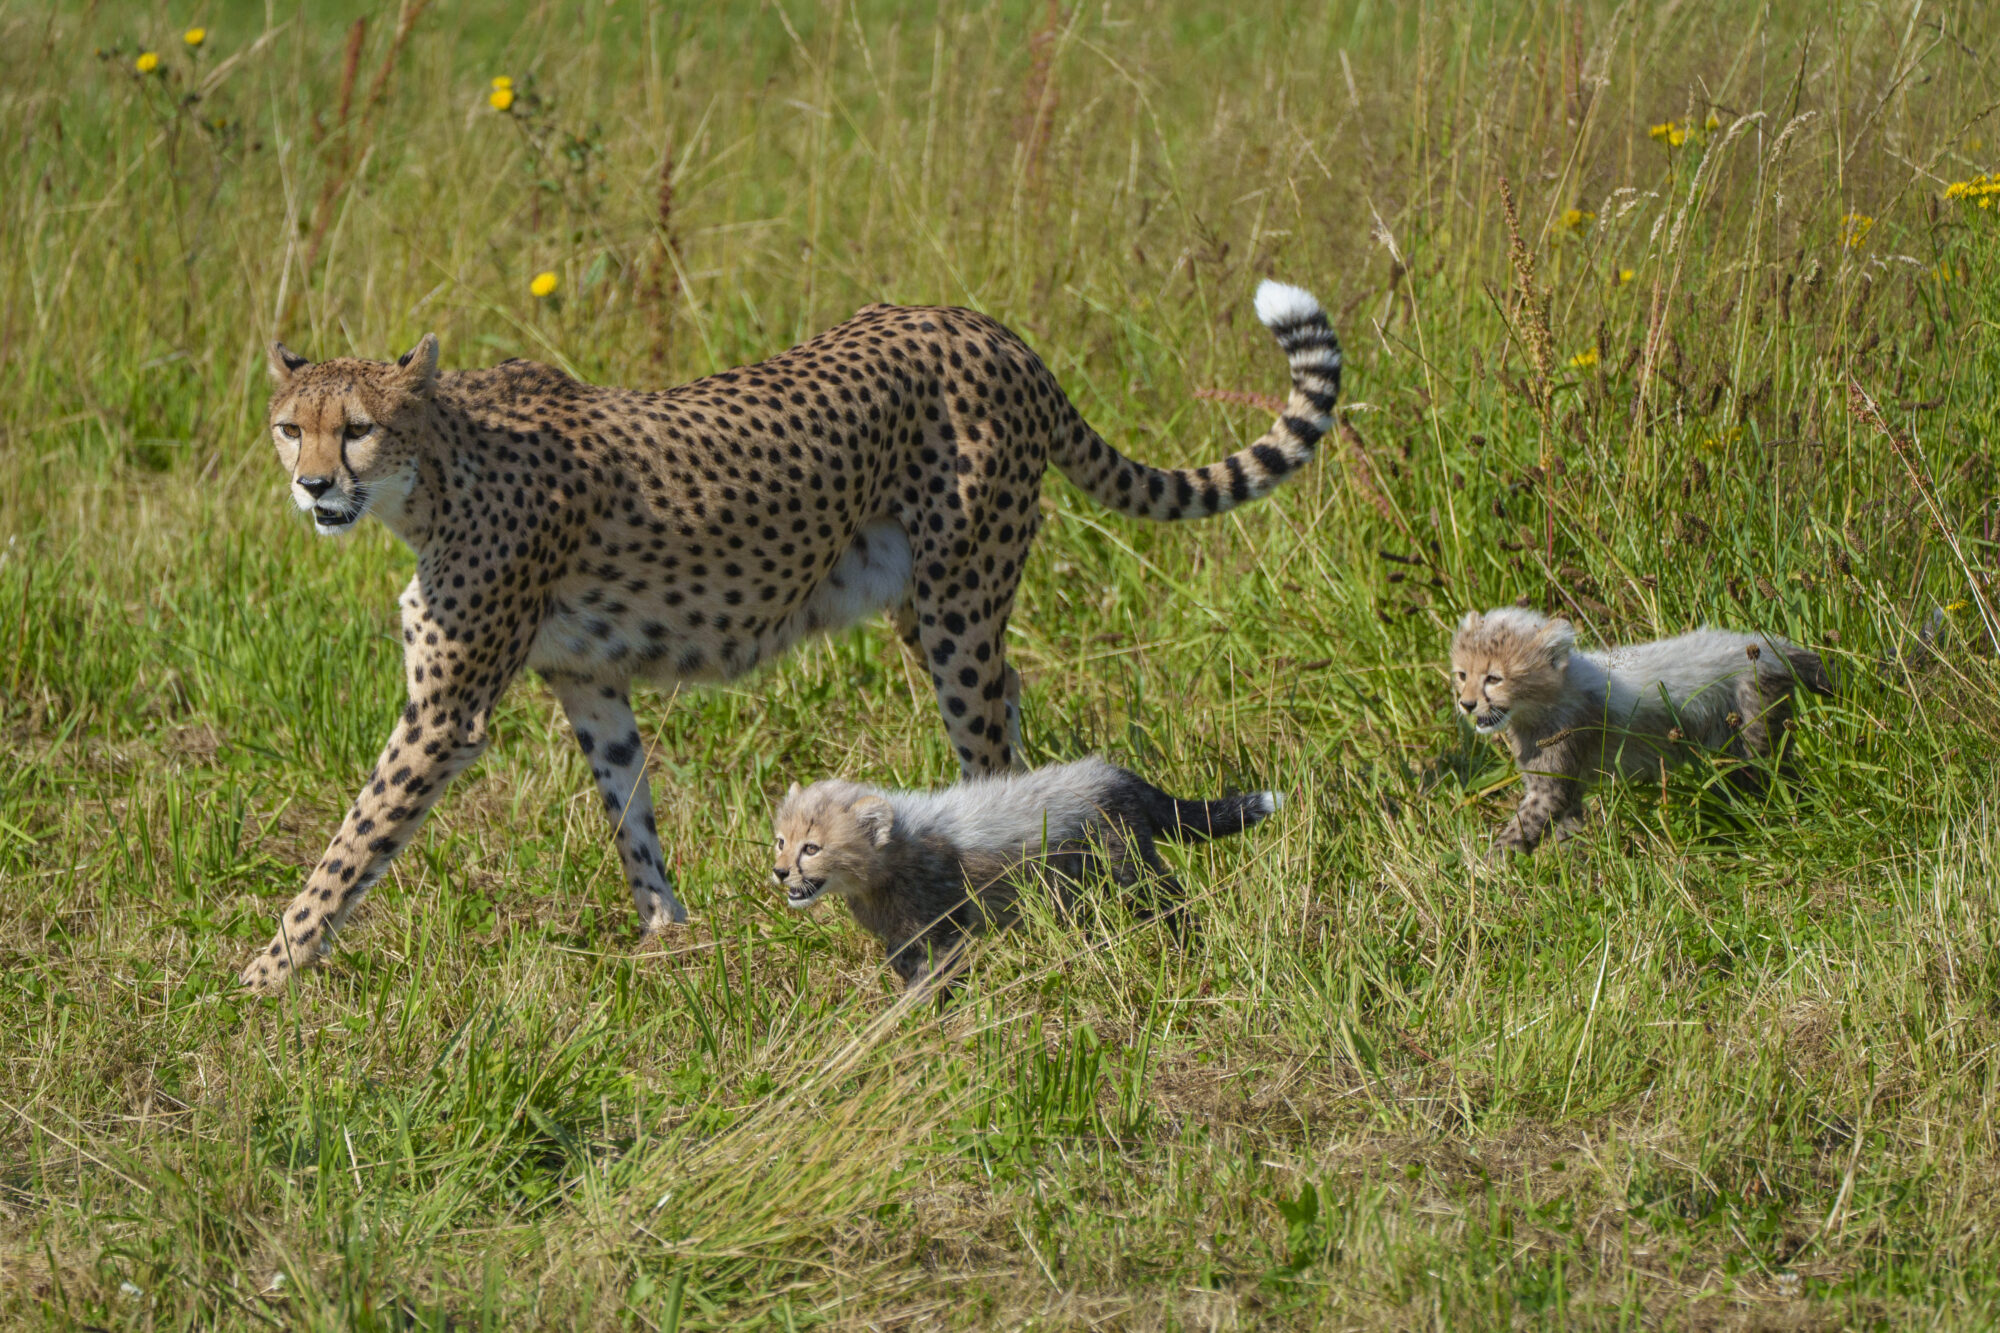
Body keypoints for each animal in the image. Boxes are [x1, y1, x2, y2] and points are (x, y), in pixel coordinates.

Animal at [240, 280, 1340, 991]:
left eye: (359, 427)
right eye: (292, 426)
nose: (312, 486)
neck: (435, 473)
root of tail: (978, 323)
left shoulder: (445, 714)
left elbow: (347, 848)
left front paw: (258, 982)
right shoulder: (586, 677)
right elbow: (629, 809)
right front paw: (668, 939)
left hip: (958, 604)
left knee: (989, 738)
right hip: (932, 605)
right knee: (1014, 700)